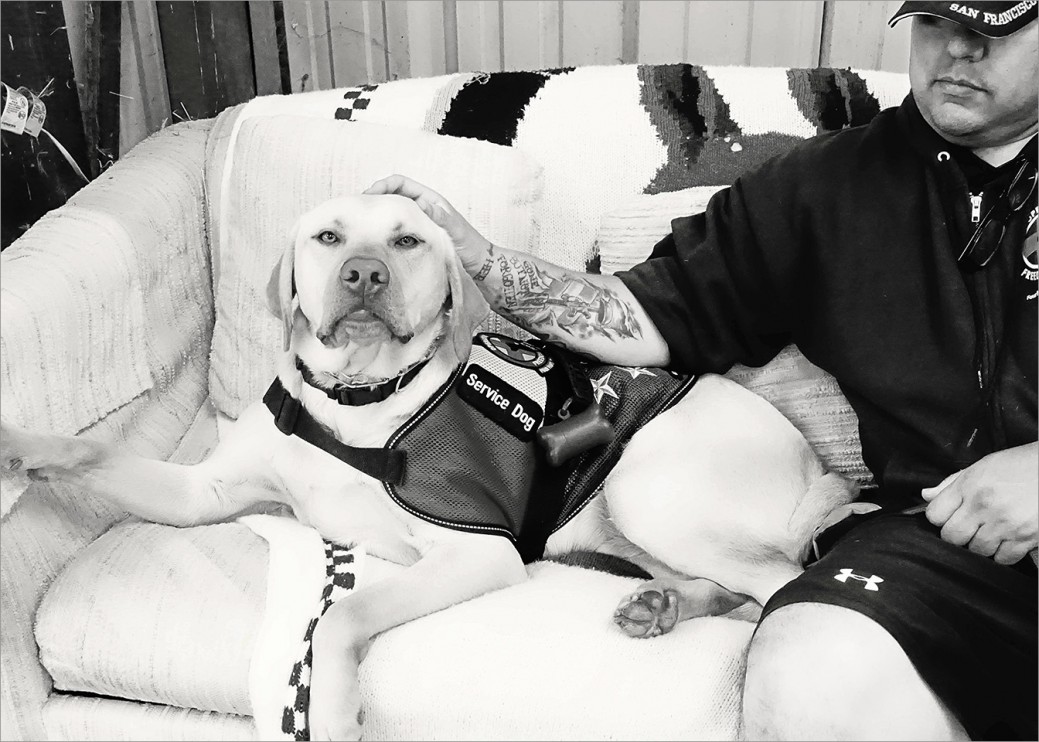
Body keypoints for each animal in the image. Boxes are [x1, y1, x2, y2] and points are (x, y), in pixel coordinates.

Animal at [4, 195, 856, 739]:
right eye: (327, 238)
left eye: (407, 241)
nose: (363, 274)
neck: (356, 398)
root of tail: (816, 465)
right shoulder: (199, 490)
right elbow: (92, 448)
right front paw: (19, 445)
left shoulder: (476, 553)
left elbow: (343, 613)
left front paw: (334, 710)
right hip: (623, 524)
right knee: (733, 589)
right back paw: (661, 608)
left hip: (648, 487)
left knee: (779, 586)